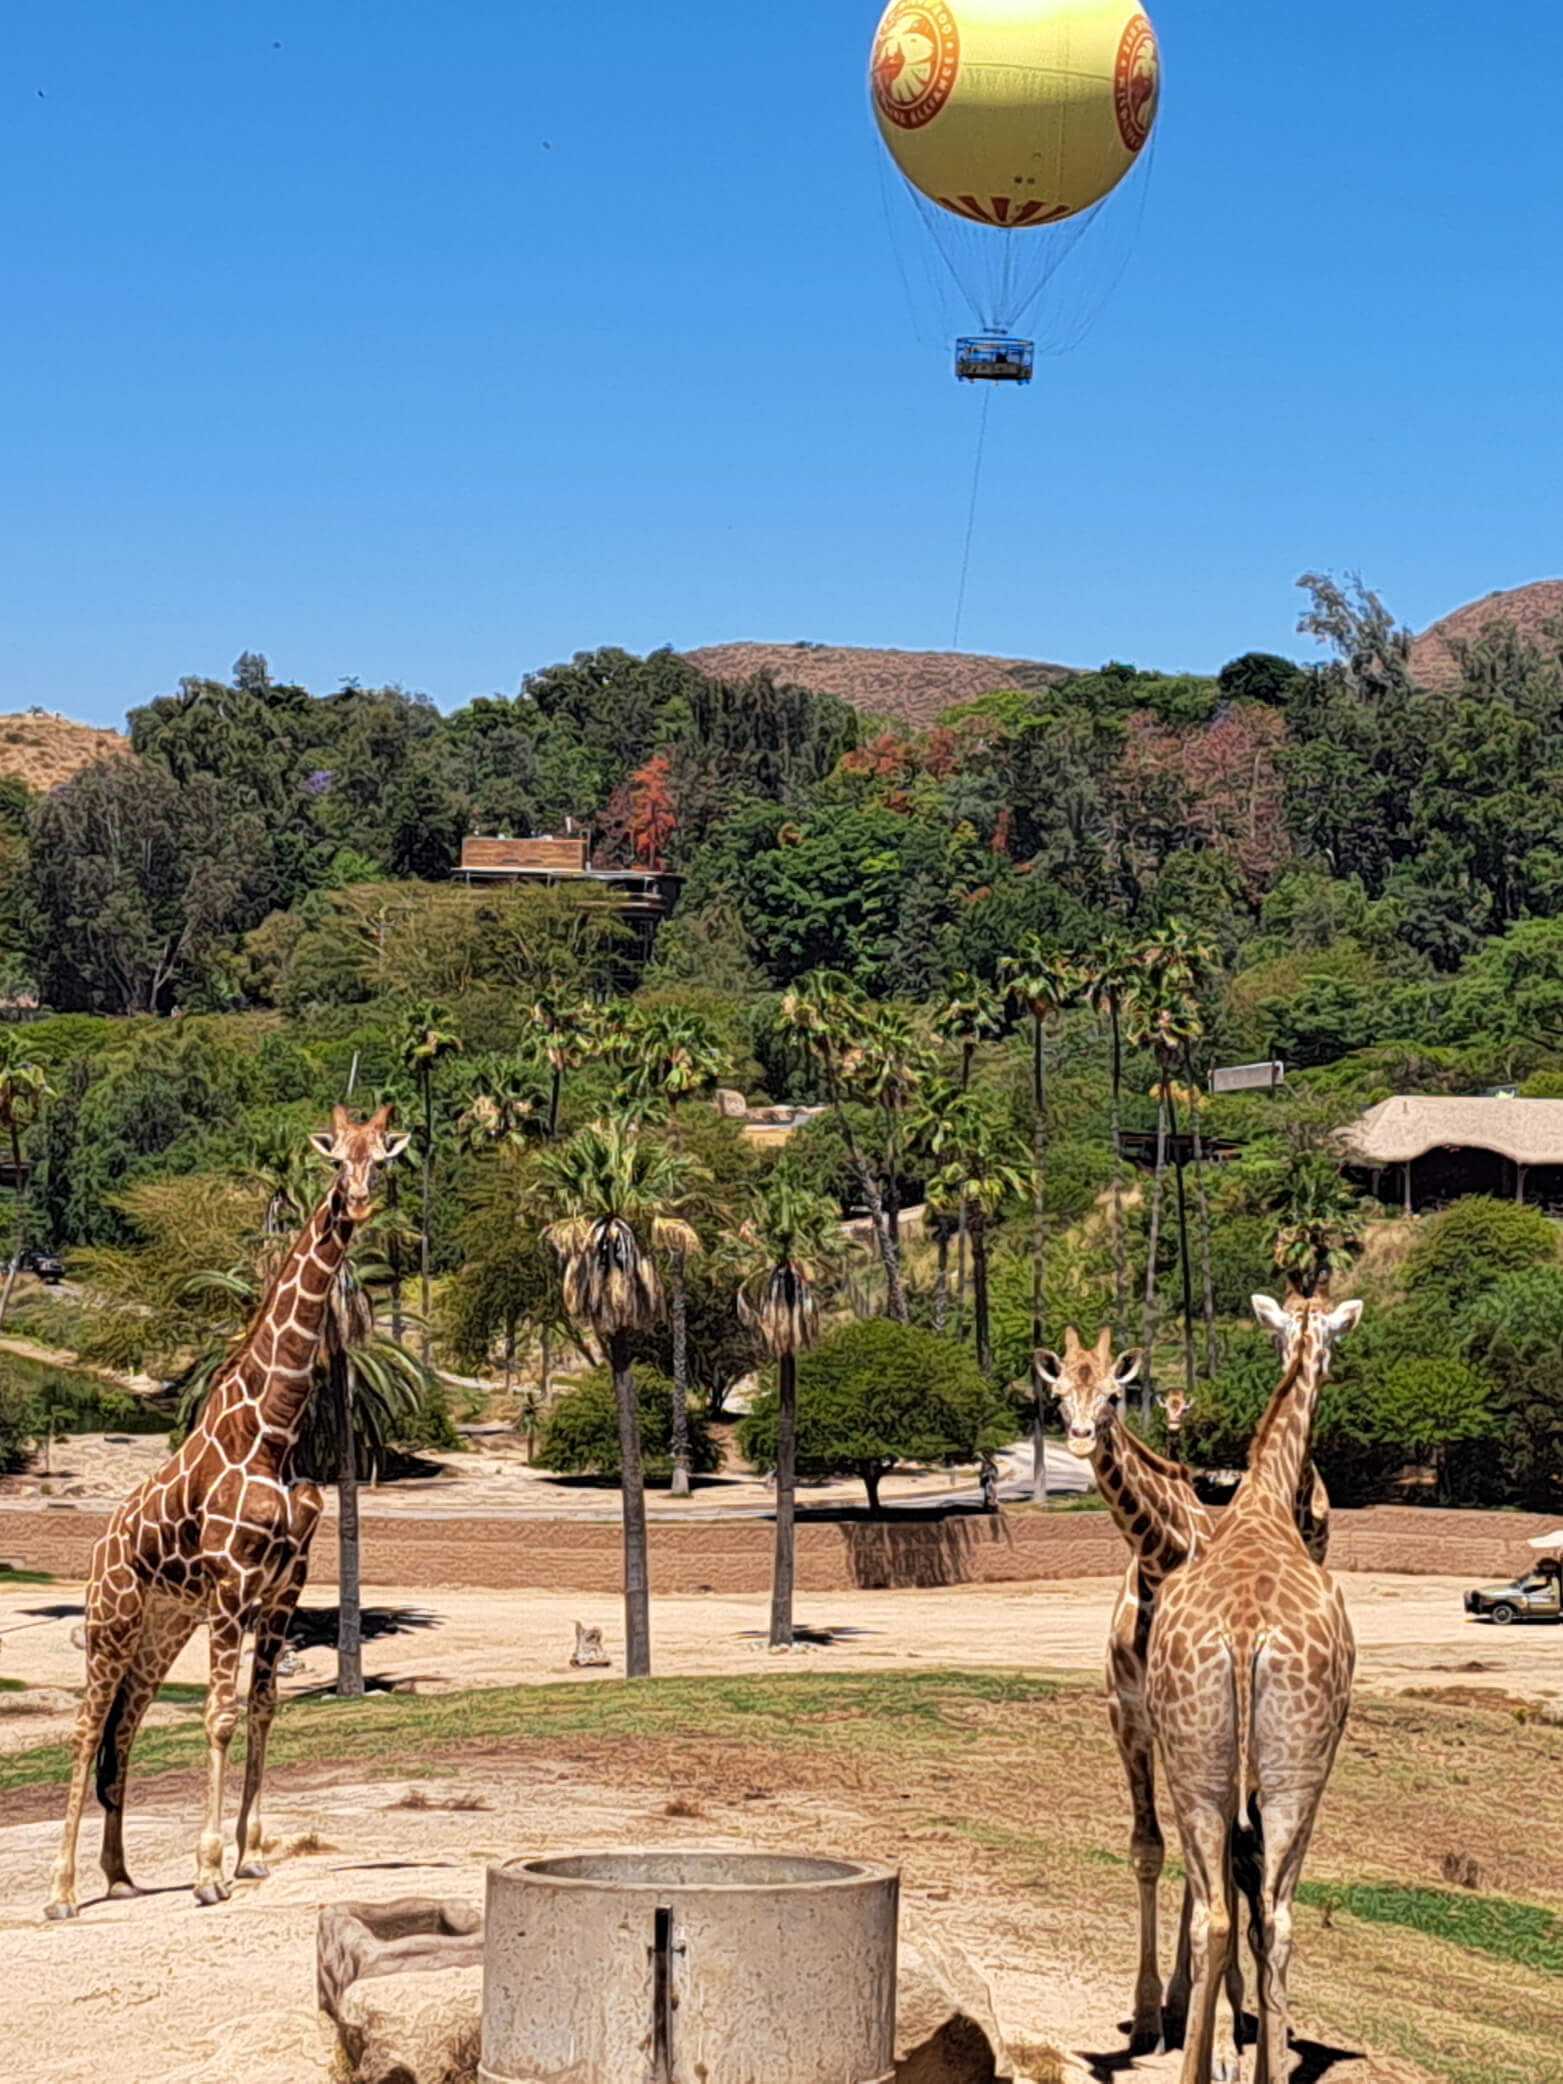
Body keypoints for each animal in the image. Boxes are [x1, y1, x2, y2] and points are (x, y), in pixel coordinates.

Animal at [45, 1105, 409, 1921]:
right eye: (335, 1158)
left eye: (383, 1158)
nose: (358, 1203)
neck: (273, 1431)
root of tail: (99, 1547)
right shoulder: (233, 1583)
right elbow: (217, 1715)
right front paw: (210, 1871)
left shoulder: (283, 1585)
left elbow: (264, 1707)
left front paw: (250, 1856)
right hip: (110, 1620)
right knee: (86, 1729)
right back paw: (63, 1891)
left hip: (160, 1630)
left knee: (126, 1725)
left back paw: (120, 1875)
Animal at [1145, 1291, 1362, 2083]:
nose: (1326, 1367)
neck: (1262, 1499)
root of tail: (1243, 1639)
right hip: (1297, 1766)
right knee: (1274, 1913)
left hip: (1197, 1760)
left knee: (1223, 1911)